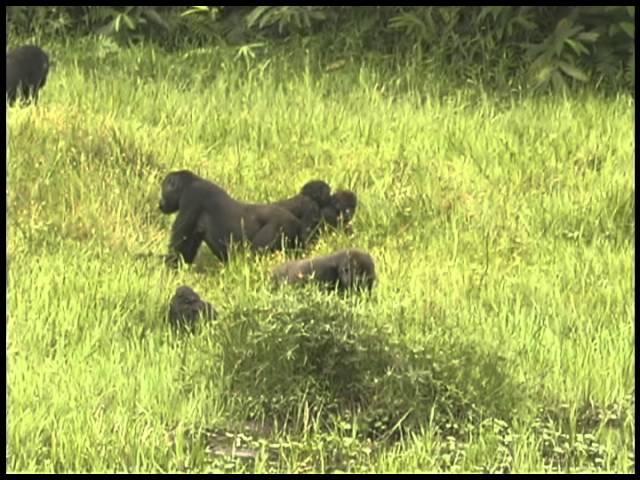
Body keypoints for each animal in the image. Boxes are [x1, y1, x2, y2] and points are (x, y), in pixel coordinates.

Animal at [158, 170, 308, 268]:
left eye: (163, 190)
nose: (160, 203)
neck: (191, 183)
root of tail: (297, 222)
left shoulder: (192, 197)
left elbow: (177, 250)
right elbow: (185, 255)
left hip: (280, 225)